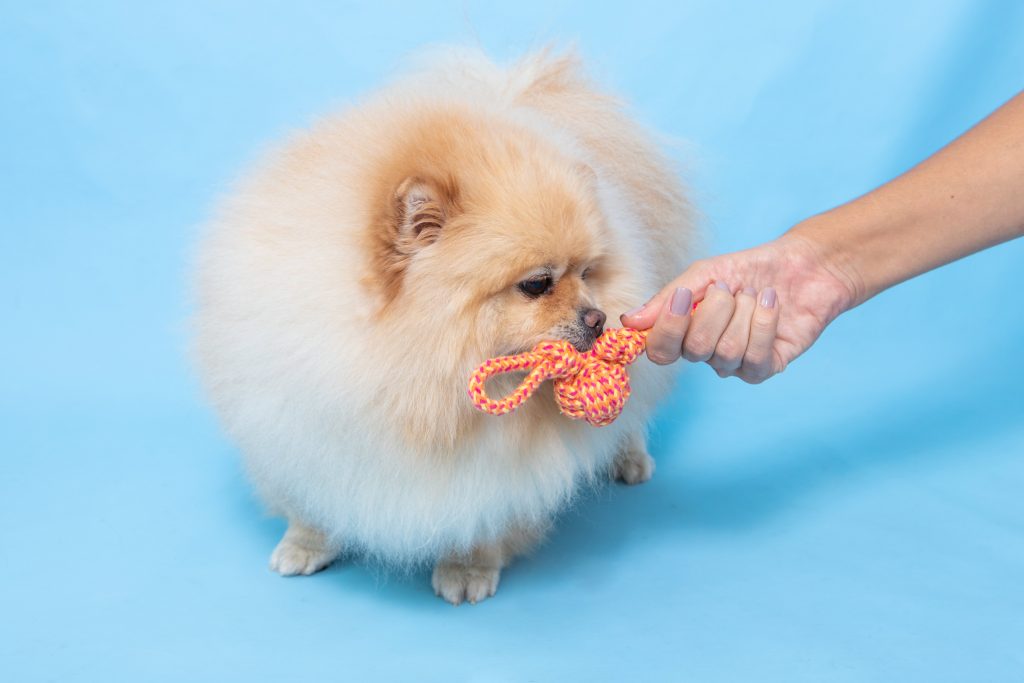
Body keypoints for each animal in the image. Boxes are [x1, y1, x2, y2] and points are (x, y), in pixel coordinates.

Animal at [192, 46, 696, 602]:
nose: (599, 318)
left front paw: (467, 568)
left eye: (588, 274)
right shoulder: (300, 418)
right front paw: (305, 542)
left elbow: (481, 516)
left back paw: (629, 460)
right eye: (537, 284)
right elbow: (313, 494)